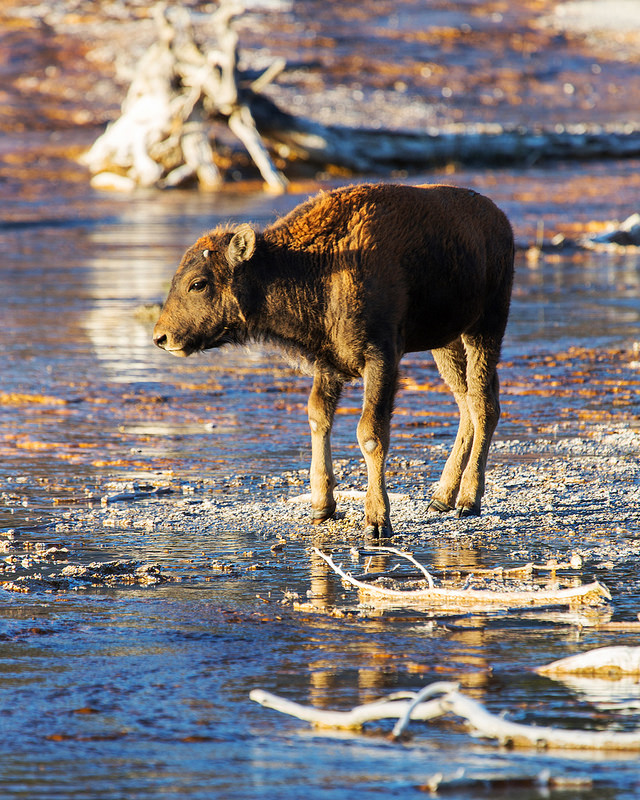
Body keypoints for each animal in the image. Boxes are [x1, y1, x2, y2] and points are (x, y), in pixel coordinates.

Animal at [153, 183, 514, 536]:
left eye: (198, 283)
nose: (161, 337)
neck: (314, 265)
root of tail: (499, 219)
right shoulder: (327, 364)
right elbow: (318, 418)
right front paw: (322, 508)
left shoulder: (381, 358)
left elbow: (370, 434)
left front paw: (377, 522)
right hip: (447, 343)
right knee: (466, 403)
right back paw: (441, 499)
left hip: (485, 328)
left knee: (483, 405)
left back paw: (468, 501)